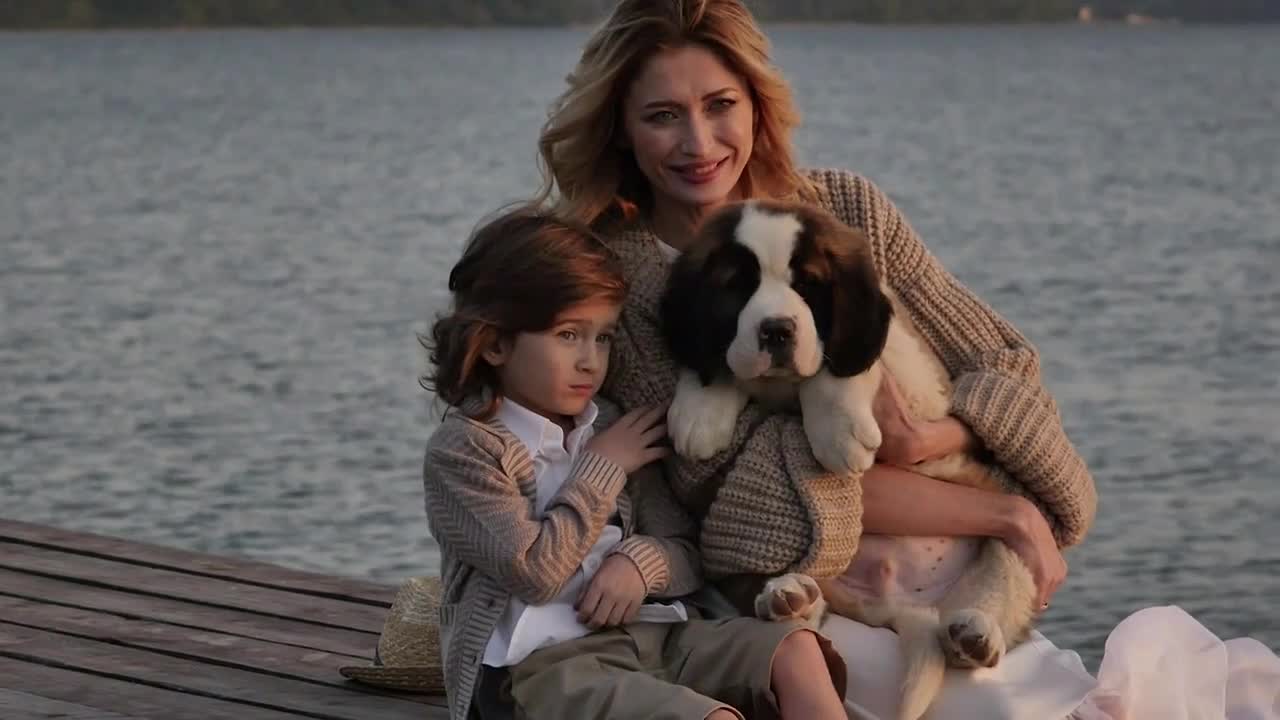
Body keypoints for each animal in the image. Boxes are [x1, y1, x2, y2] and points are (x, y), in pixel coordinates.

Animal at [660, 198, 1039, 717]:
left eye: (808, 287)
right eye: (737, 288)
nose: (777, 330)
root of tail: (902, 603)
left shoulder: (901, 363)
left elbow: (834, 366)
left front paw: (838, 433)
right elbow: (716, 358)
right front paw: (699, 412)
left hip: (1008, 534)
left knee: (993, 595)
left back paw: (975, 635)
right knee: (807, 615)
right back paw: (789, 596)